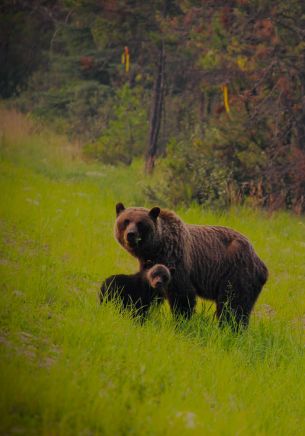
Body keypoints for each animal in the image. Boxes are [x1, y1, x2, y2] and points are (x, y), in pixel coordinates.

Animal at [114, 203, 266, 328]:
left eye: (140, 223)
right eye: (126, 221)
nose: (131, 234)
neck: (156, 248)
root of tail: (260, 263)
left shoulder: (177, 260)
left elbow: (182, 295)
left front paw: (181, 321)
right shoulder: (150, 266)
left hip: (237, 273)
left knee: (233, 305)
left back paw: (230, 329)